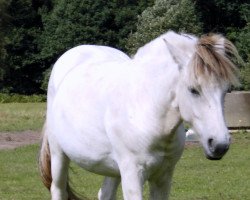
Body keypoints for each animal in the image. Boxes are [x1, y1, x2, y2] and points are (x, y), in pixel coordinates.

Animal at [39, 30, 240, 199]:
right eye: (193, 90)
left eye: (226, 90)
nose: (219, 145)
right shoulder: (133, 175)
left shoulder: (163, 177)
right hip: (58, 155)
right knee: (58, 189)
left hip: (112, 169)